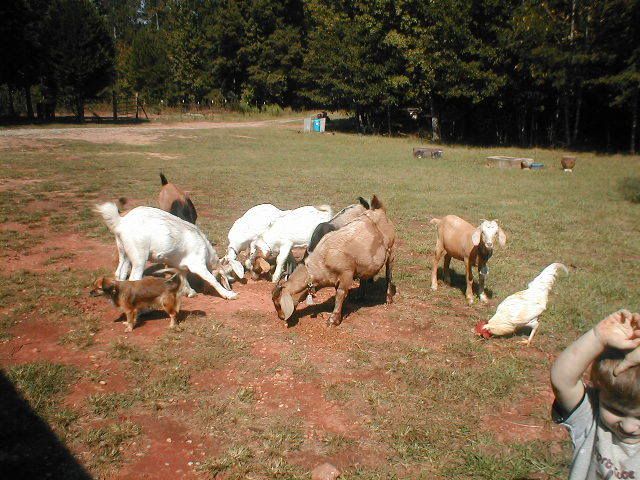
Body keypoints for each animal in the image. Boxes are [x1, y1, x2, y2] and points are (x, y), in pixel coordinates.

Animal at [95, 202, 237, 300]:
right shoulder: (198, 265)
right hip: (139, 255)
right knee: (134, 278)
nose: (232, 281)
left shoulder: (180, 265)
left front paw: (190, 292)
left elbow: (183, 276)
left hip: (124, 252)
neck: (206, 249)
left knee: (120, 273)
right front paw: (228, 294)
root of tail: (122, 221)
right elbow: (212, 280)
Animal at [272, 195, 395, 326]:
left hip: (391, 250)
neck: (320, 260)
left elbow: (340, 293)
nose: (281, 317)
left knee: (389, 274)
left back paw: (388, 298)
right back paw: (360, 296)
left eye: (278, 303)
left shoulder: (346, 273)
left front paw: (333, 319)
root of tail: (378, 209)